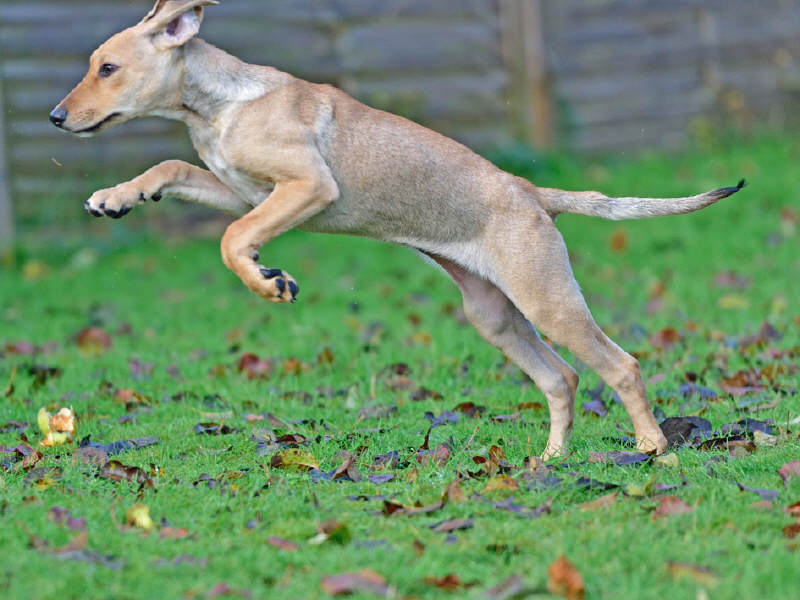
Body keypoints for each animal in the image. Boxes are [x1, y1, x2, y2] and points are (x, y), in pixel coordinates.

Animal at [50, 0, 745, 459]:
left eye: (107, 68)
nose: (55, 117)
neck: (220, 104)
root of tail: (532, 193)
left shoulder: (305, 189)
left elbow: (230, 240)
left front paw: (269, 281)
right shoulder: (244, 192)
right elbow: (171, 170)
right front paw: (116, 198)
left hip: (548, 302)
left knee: (621, 365)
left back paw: (653, 448)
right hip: (493, 314)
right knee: (562, 378)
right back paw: (550, 461)